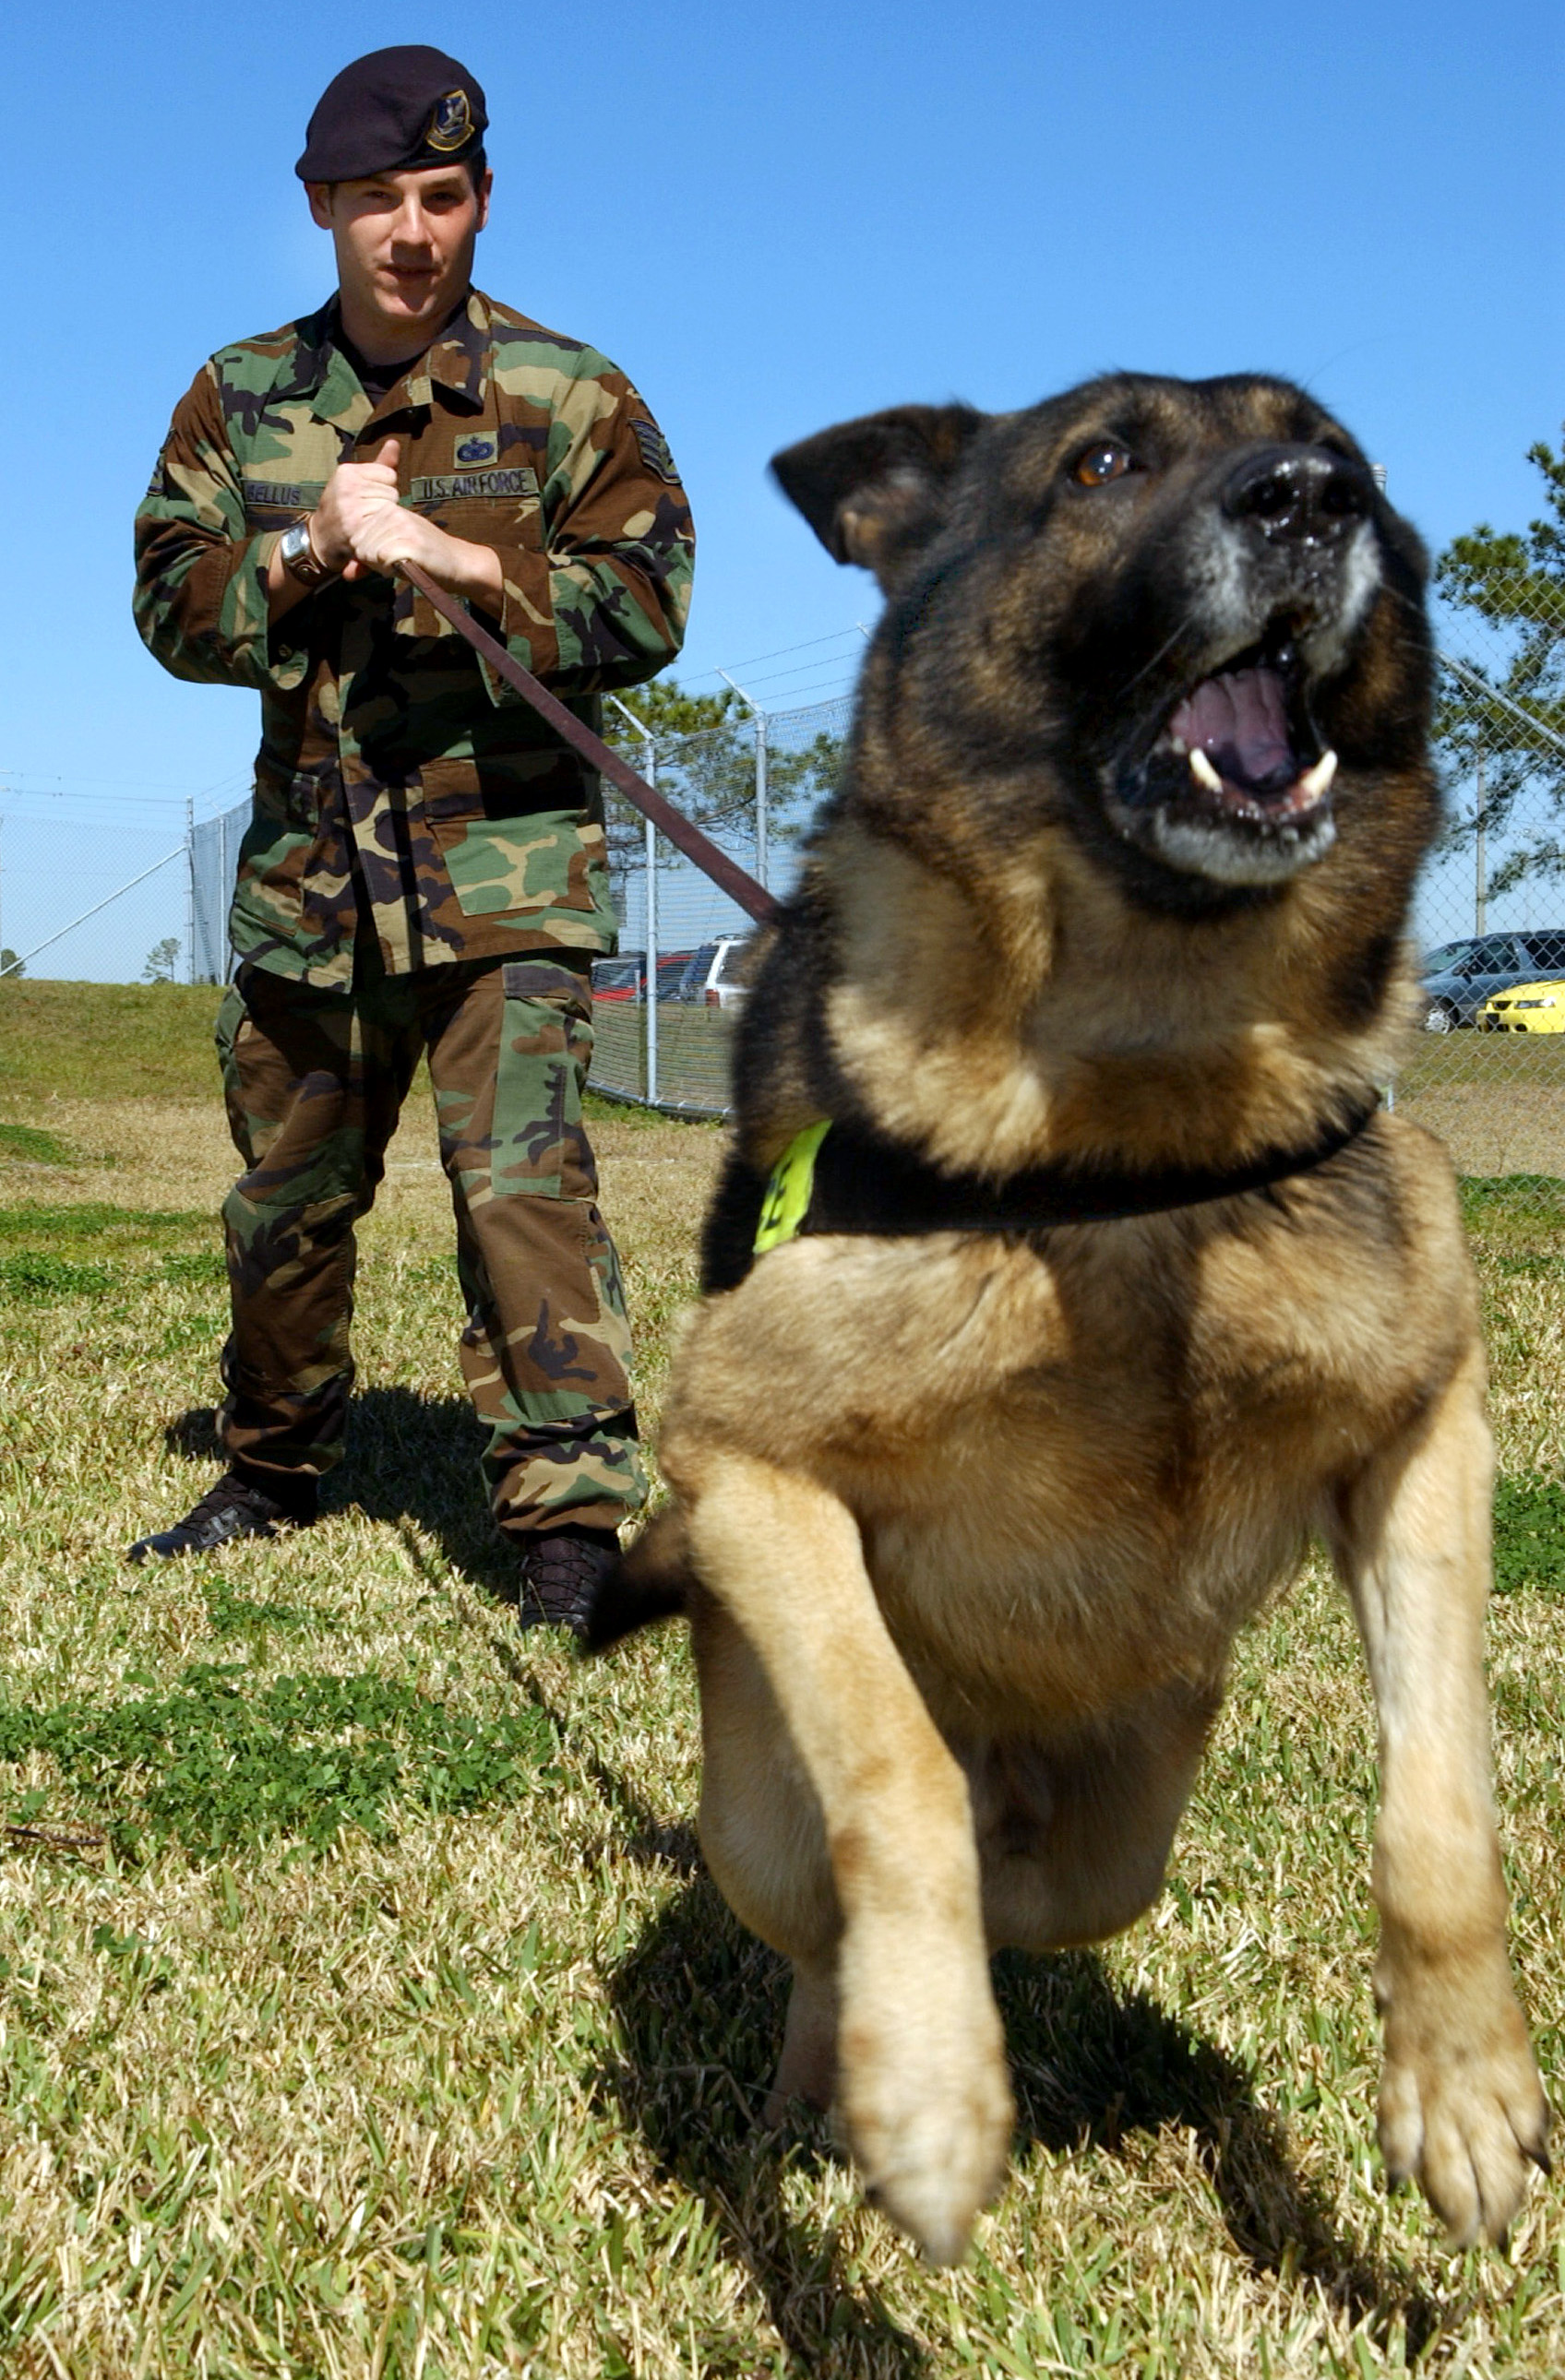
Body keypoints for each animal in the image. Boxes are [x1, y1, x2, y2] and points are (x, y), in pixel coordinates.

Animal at [595, 375, 1553, 2266]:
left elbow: (1444, 1799)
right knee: (841, 1901)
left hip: (1139, 1783)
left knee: (1060, 1882)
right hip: (755, 1804)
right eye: (1103, 461)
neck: (1148, 1130)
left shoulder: (1427, 1444)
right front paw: (930, 2089)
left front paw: (1465, 2088)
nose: (1308, 499)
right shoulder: (745, 1461)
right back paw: (844, 2073)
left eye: (1348, 454)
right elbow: (893, 1774)